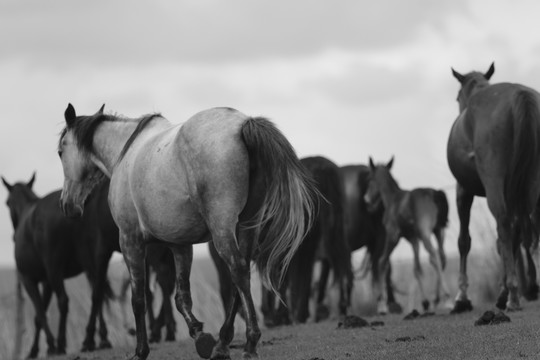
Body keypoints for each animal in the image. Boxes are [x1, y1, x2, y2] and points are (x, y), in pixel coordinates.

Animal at [1, 174, 119, 358]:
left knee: (64, 300)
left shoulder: (29, 280)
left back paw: (64, 343)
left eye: (7, 202)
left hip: (56, 268)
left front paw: (47, 346)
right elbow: (39, 316)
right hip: (91, 261)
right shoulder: (46, 282)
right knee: (97, 294)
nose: (13, 236)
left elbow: (40, 312)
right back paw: (98, 339)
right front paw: (40, 347)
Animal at [56, 104, 316, 360]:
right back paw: (222, 343)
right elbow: (182, 298)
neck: (126, 152)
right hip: (246, 228)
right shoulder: (179, 244)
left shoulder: (130, 240)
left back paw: (249, 343)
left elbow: (138, 299)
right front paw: (199, 334)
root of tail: (243, 124)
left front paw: (141, 351)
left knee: (238, 271)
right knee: (239, 280)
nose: (67, 205)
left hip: (222, 228)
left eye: (60, 151)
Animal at [364, 156, 450, 314]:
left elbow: (382, 262)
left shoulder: (393, 236)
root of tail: (434, 193)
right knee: (441, 257)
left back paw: (447, 299)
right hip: (439, 231)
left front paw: (382, 304)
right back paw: (436, 300)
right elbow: (417, 268)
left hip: (425, 233)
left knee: (434, 256)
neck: (392, 200)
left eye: (370, 179)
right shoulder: (413, 239)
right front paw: (425, 303)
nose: (366, 200)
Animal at [448, 62, 540, 312]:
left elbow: (464, 241)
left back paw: (513, 295)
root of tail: (520, 95)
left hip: (494, 184)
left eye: (457, 96)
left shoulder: (463, 191)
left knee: (504, 224)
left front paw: (461, 297)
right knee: (522, 225)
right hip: (530, 183)